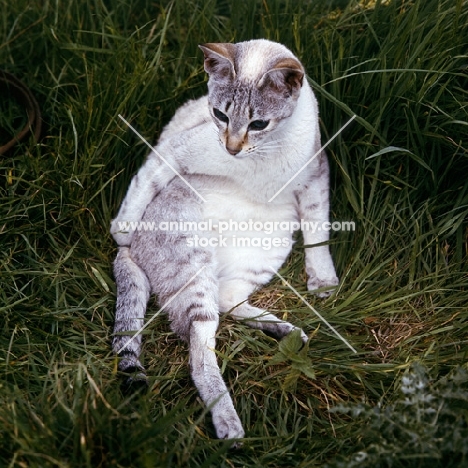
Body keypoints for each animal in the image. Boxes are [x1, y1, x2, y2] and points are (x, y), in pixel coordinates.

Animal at [110, 39, 336, 442]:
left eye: (259, 123)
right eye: (220, 114)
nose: (231, 148)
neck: (260, 160)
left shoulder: (315, 176)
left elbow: (318, 230)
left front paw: (323, 280)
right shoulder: (176, 149)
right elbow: (142, 183)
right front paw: (121, 228)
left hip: (266, 247)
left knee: (229, 301)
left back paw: (284, 330)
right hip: (194, 268)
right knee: (199, 352)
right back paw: (229, 423)